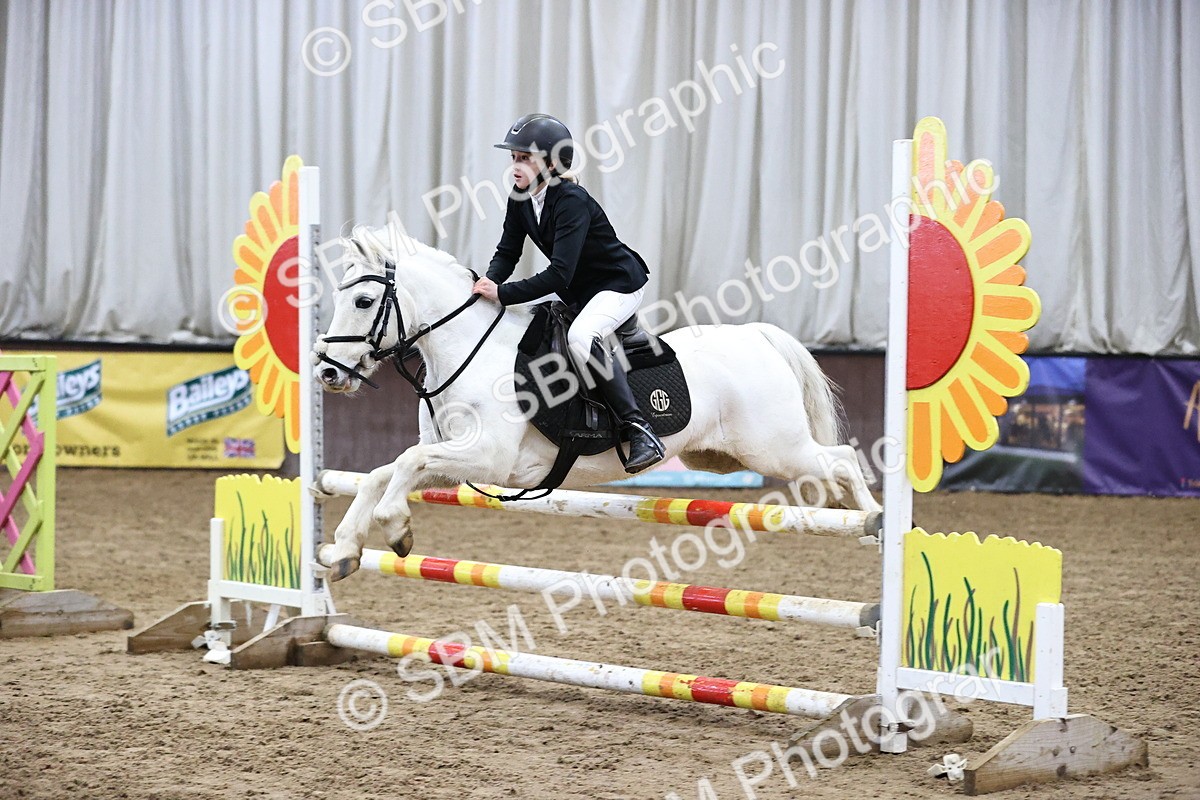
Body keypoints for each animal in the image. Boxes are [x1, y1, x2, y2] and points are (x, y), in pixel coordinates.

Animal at [311, 225, 881, 580]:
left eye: (363, 300)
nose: (326, 372)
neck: (469, 347)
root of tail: (758, 336)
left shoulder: (489, 456)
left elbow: (405, 464)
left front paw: (396, 528)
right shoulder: (456, 457)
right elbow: (384, 472)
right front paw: (343, 549)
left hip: (774, 448)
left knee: (842, 459)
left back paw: (874, 526)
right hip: (728, 456)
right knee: (828, 466)